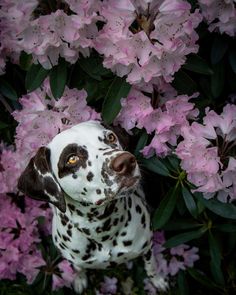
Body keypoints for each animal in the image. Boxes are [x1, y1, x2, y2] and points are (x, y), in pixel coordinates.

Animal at [17, 120, 167, 294]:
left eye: (110, 137)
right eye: (72, 159)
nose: (126, 161)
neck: (102, 231)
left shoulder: (146, 247)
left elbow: (151, 267)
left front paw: (158, 281)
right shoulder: (75, 260)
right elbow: (78, 269)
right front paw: (79, 279)